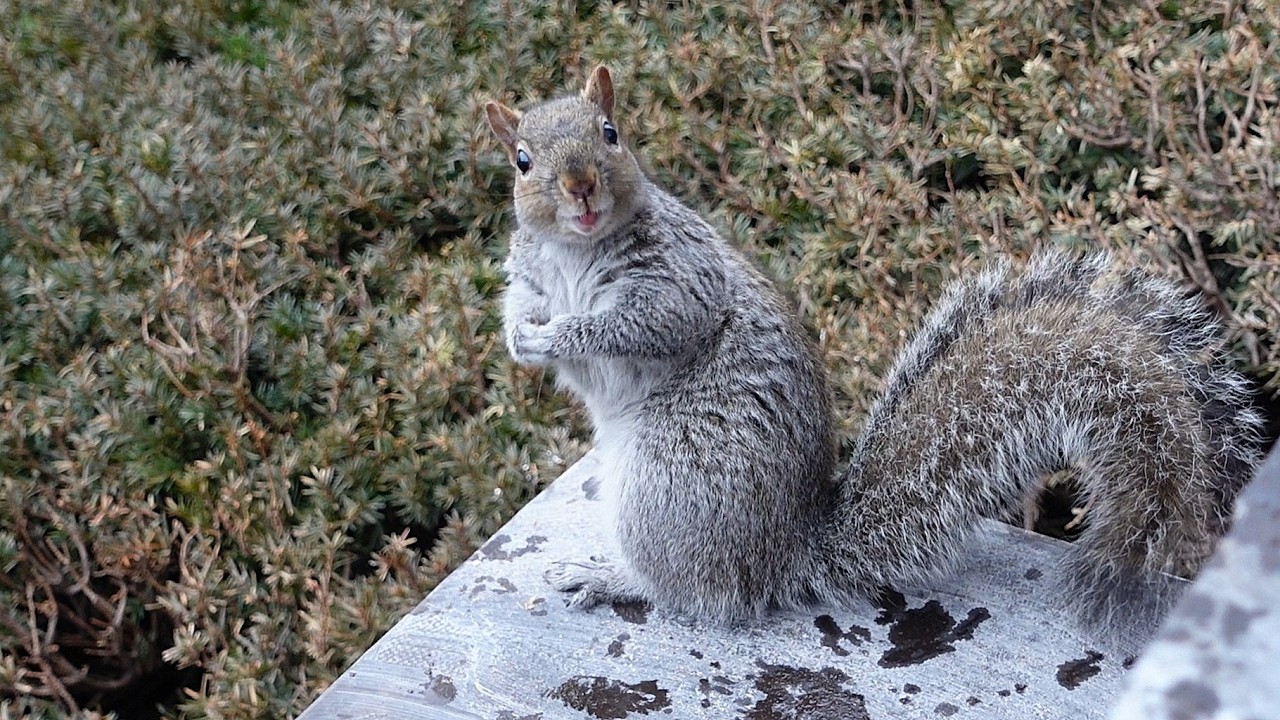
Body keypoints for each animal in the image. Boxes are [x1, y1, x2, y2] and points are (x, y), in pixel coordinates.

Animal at [483, 65, 1265, 640]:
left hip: (670, 486)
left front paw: (560, 335)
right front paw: (522, 337)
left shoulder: (683, 278)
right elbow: (521, 305)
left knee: (704, 597)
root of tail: (783, 555)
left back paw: (617, 579)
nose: (581, 185)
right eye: (521, 161)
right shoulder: (531, 275)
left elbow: (646, 323)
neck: (575, 251)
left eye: (610, 135)